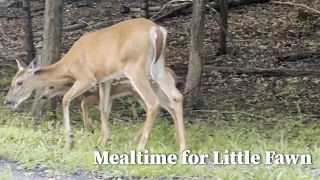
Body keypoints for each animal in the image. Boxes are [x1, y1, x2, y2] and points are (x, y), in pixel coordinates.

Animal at [39, 67, 180, 141]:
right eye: (45, 86)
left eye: (51, 87)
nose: (42, 96)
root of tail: (171, 73)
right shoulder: (110, 97)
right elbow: (105, 113)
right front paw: (104, 136)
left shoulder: (95, 94)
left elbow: (83, 103)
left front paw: (91, 128)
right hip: (146, 93)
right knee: (166, 108)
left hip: (144, 93)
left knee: (161, 108)